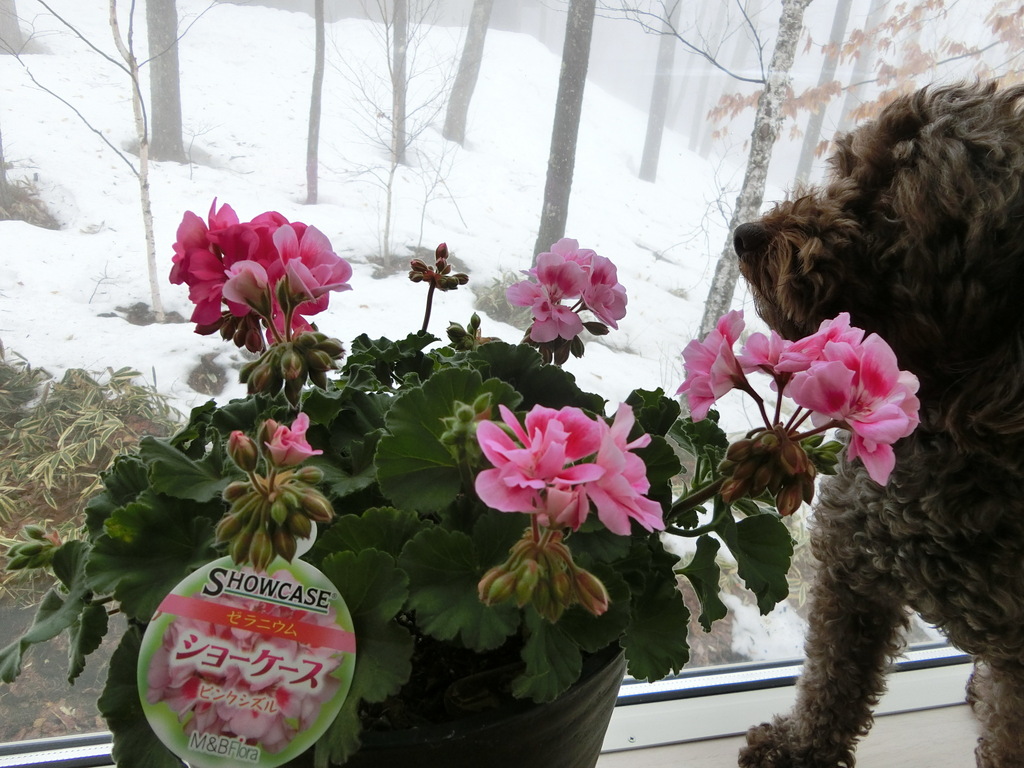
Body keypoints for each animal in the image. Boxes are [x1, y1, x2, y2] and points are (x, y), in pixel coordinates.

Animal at [733, 81, 1024, 767]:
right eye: (849, 168)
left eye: (897, 206)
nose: (746, 234)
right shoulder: (854, 573)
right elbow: (831, 683)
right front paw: (798, 749)